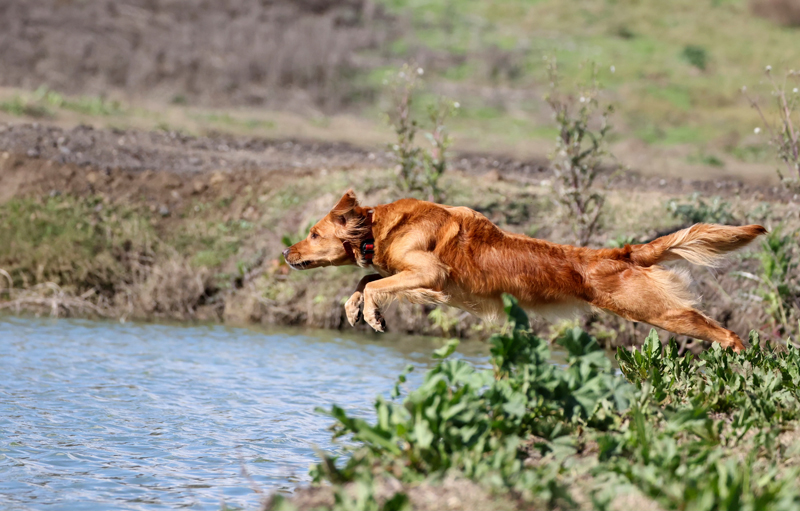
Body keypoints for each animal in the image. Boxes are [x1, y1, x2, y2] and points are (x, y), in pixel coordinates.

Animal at [284, 190, 764, 354]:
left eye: (313, 232)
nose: (287, 253)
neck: (379, 227)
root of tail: (622, 252)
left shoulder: (432, 273)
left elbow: (375, 282)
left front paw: (369, 312)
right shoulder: (419, 276)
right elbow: (366, 279)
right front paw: (357, 310)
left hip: (657, 311)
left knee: (724, 331)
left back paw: (741, 359)